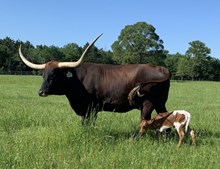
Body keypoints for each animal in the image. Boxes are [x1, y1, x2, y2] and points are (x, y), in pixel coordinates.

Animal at [18, 34, 170, 132]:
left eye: (54, 75)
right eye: (43, 75)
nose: (41, 92)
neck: (77, 80)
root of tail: (161, 68)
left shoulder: (91, 108)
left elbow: (88, 123)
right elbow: (84, 123)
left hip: (148, 103)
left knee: (144, 121)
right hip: (160, 102)